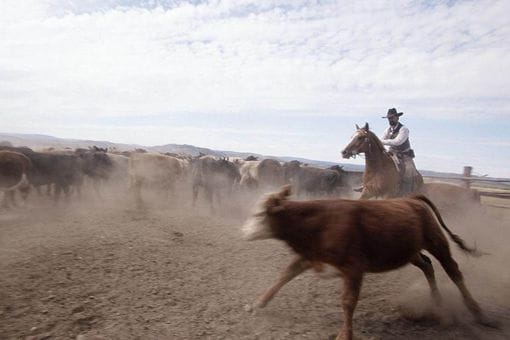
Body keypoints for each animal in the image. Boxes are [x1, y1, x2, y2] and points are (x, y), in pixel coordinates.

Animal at [243, 186, 494, 340]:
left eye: (259, 215)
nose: (243, 233)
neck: (319, 222)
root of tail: (412, 199)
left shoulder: (354, 268)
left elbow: (348, 302)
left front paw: (345, 335)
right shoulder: (309, 257)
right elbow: (284, 276)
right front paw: (257, 304)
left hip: (436, 241)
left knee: (453, 271)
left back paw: (479, 313)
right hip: (408, 251)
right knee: (427, 265)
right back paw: (438, 303)